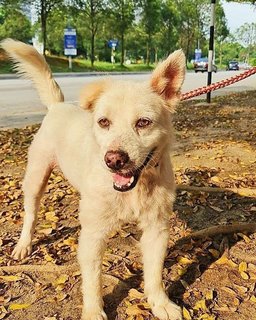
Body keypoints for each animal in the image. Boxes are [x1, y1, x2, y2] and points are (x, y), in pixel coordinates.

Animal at [1, 39, 186, 320]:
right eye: (103, 122)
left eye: (143, 122)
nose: (114, 160)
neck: (133, 190)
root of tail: (58, 105)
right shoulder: (93, 236)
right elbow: (93, 280)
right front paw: (92, 311)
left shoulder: (157, 229)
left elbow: (154, 274)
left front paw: (160, 303)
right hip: (35, 178)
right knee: (31, 214)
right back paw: (23, 244)